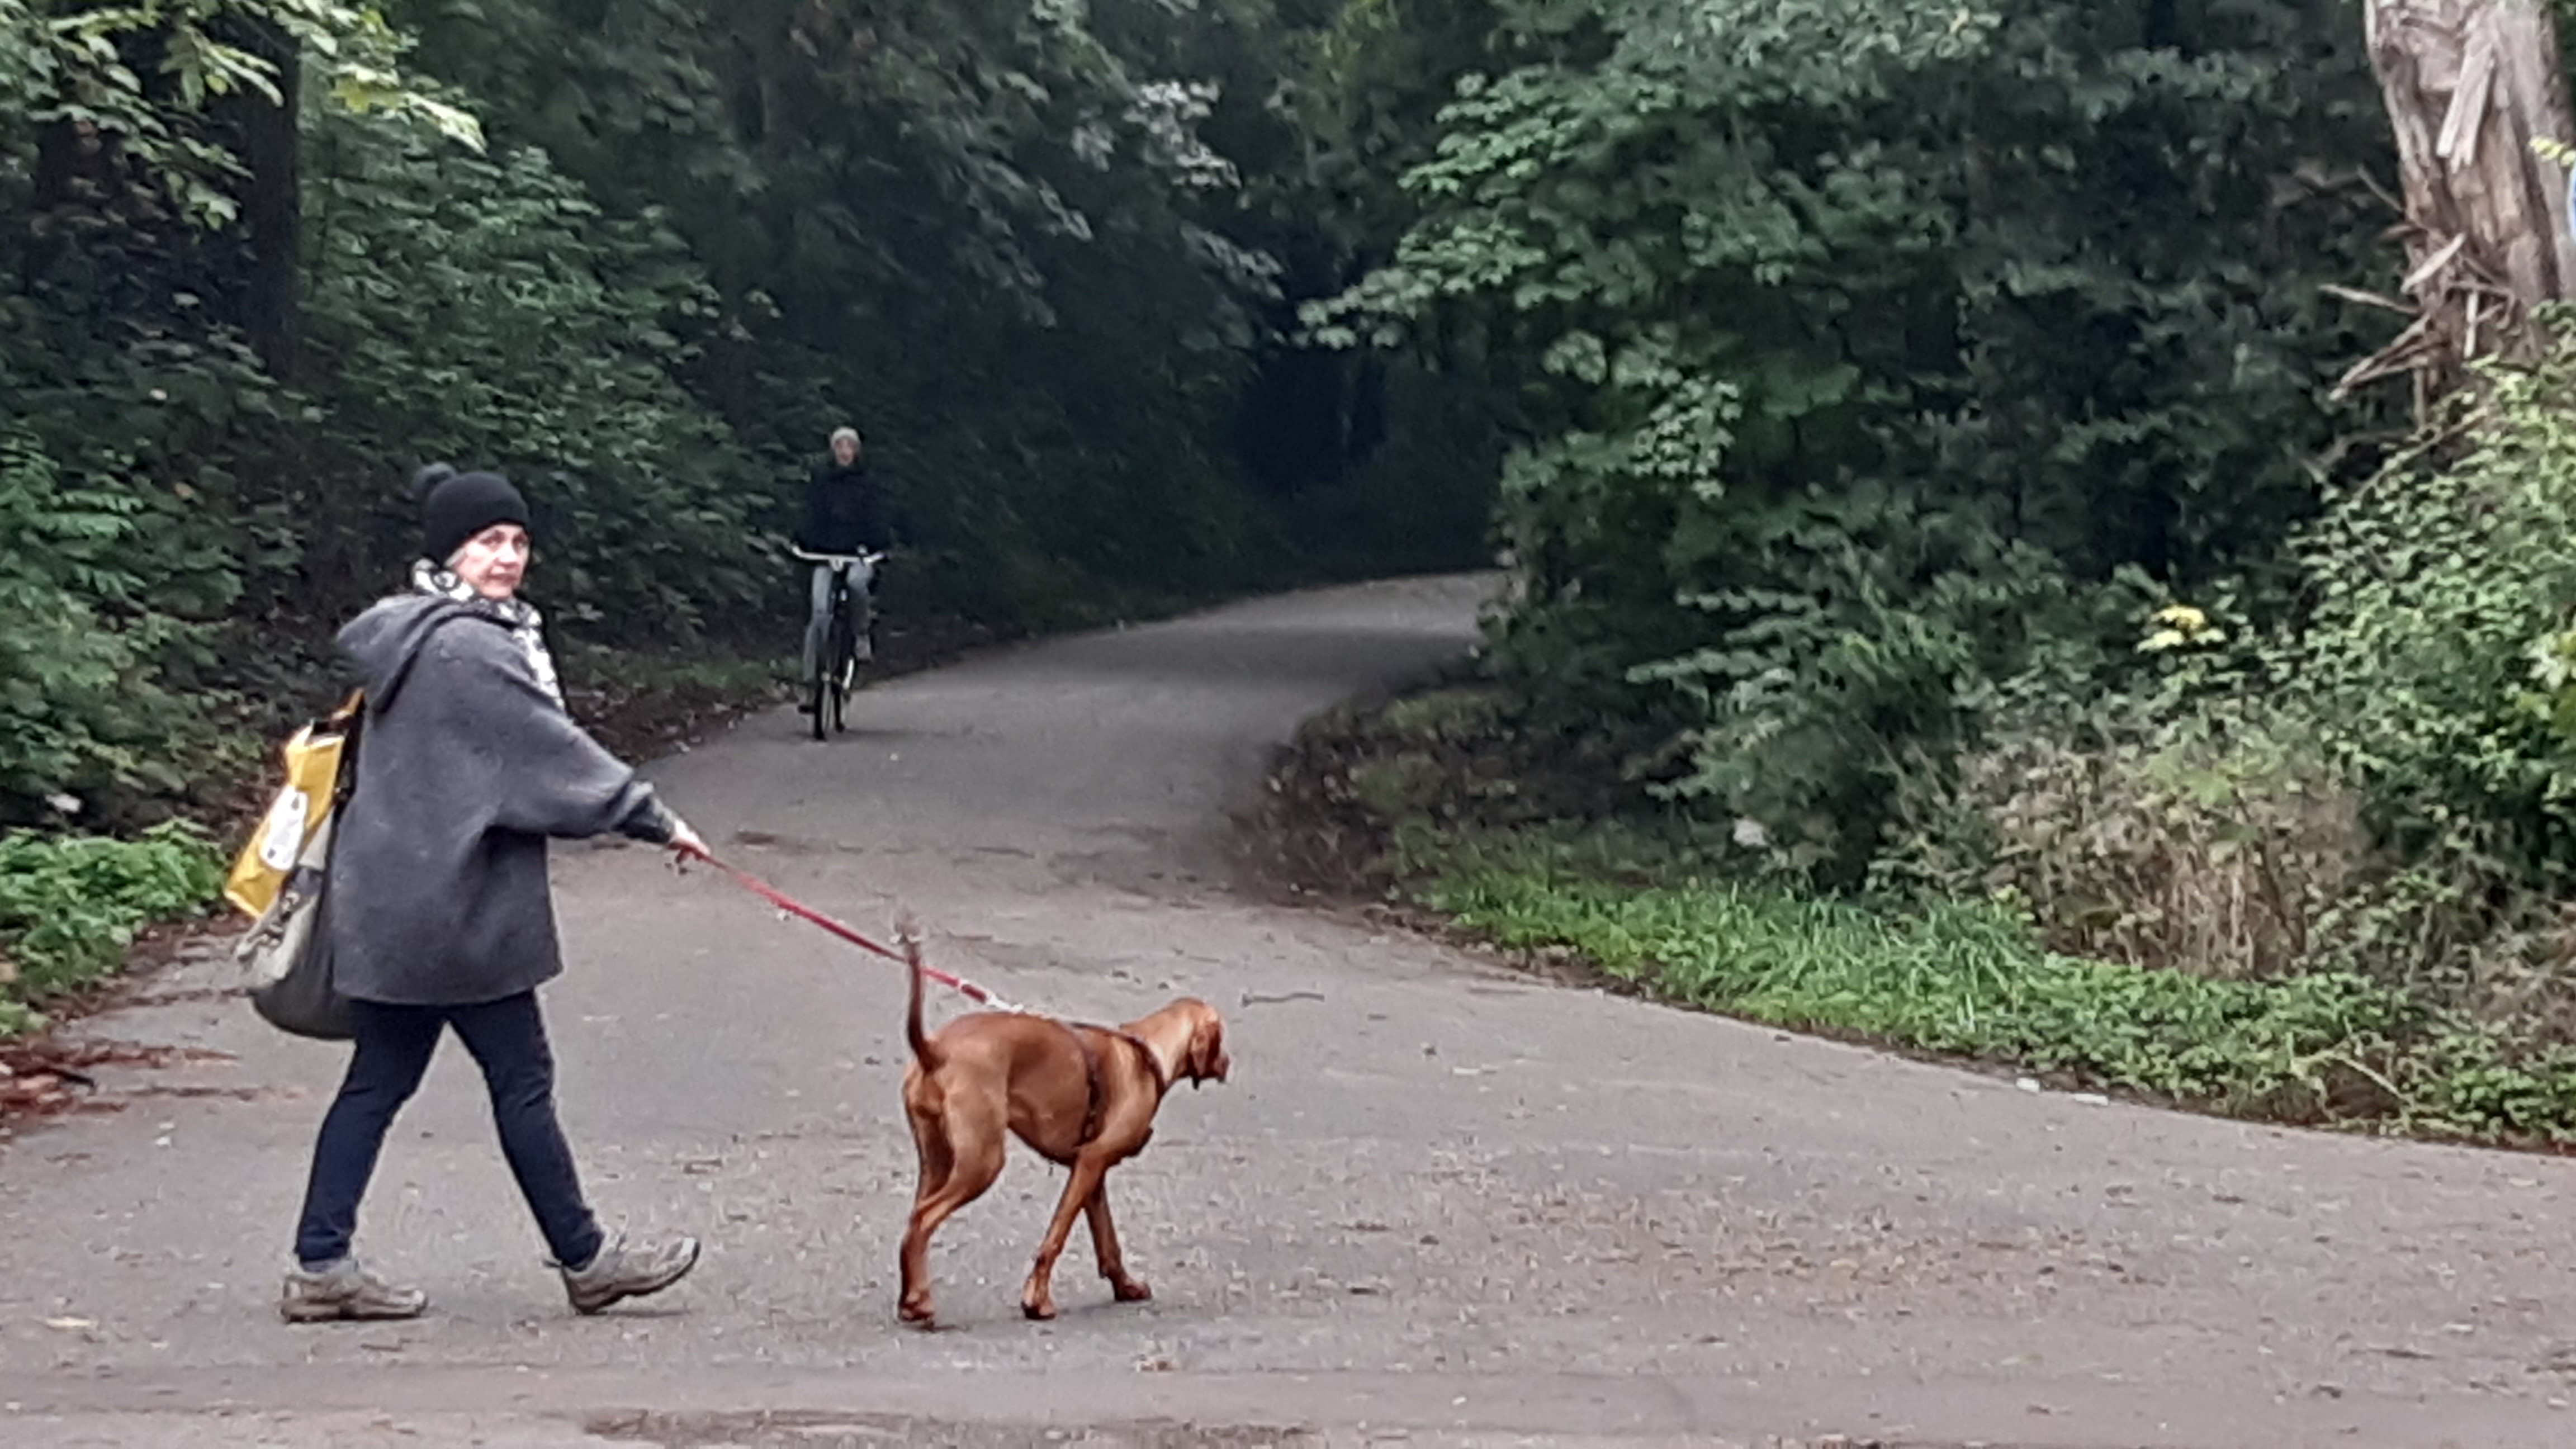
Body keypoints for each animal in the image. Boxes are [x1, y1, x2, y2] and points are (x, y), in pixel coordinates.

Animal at [896, 935, 1230, 1326]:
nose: (1229, 1063)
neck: (1147, 1053)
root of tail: (935, 1050)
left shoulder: (1092, 1172)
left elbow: (1108, 1241)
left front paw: (1125, 1286)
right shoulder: (1090, 1162)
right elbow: (1055, 1237)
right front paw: (1037, 1300)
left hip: (937, 1162)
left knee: (913, 1223)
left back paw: (910, 1298)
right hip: (982, 1163)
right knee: (923, 1219)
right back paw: (921, 1303)